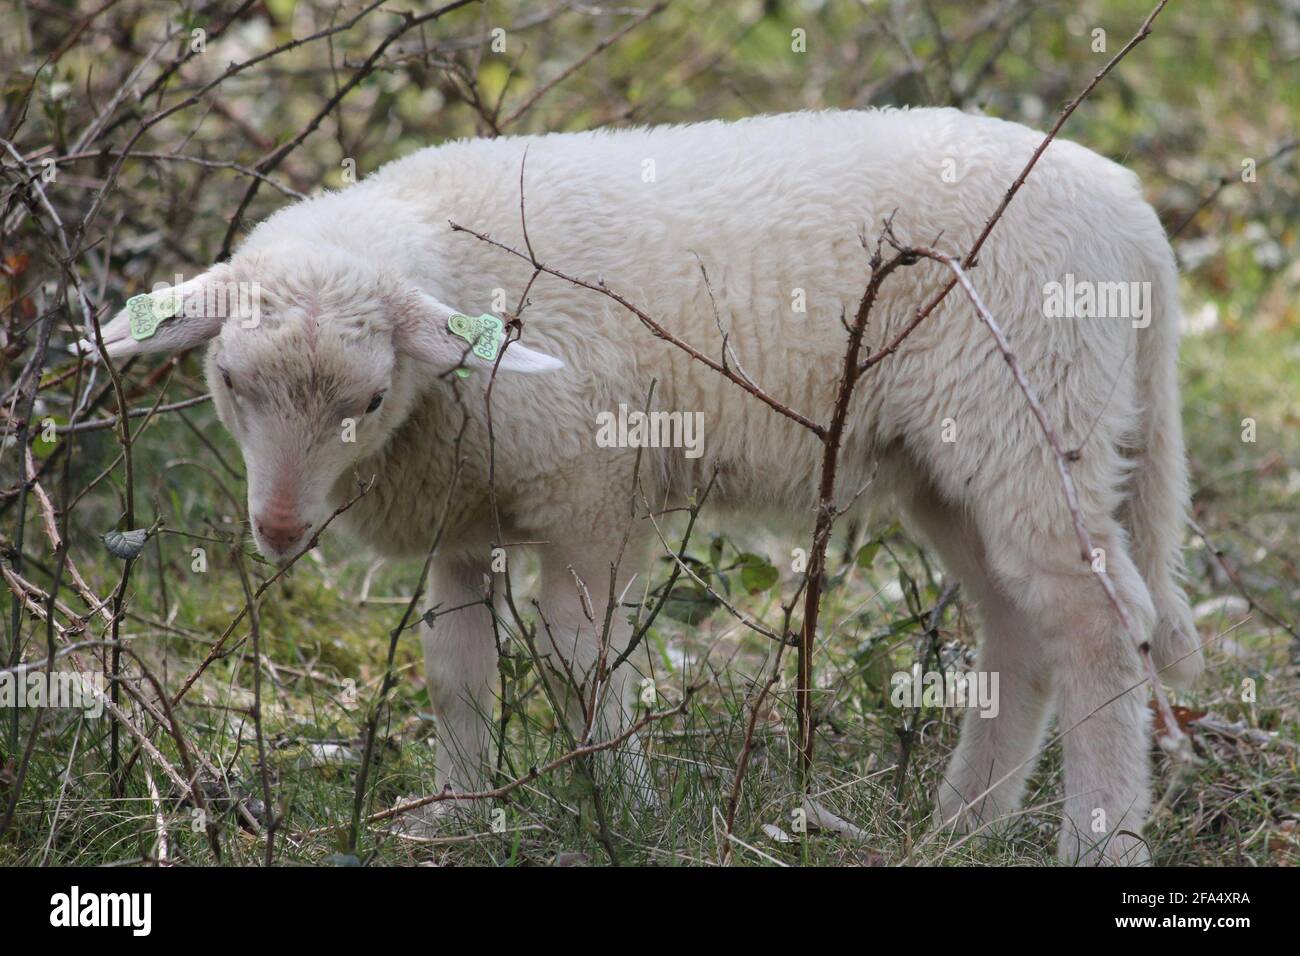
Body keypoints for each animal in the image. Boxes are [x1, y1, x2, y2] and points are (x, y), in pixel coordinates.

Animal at [94, 108, 1206, 863]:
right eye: (230, 385)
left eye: (366, 399)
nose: (279, 530)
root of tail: (1136, 220)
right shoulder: (465, 503)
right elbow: (457, 669)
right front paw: (457, 818)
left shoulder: (592, 490)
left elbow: (579, 658)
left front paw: (617, 807)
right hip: (951, 453)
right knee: (1018, 624)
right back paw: (962, 824)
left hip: (1033, 411)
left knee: (1100, 623)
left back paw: (1097, 838)